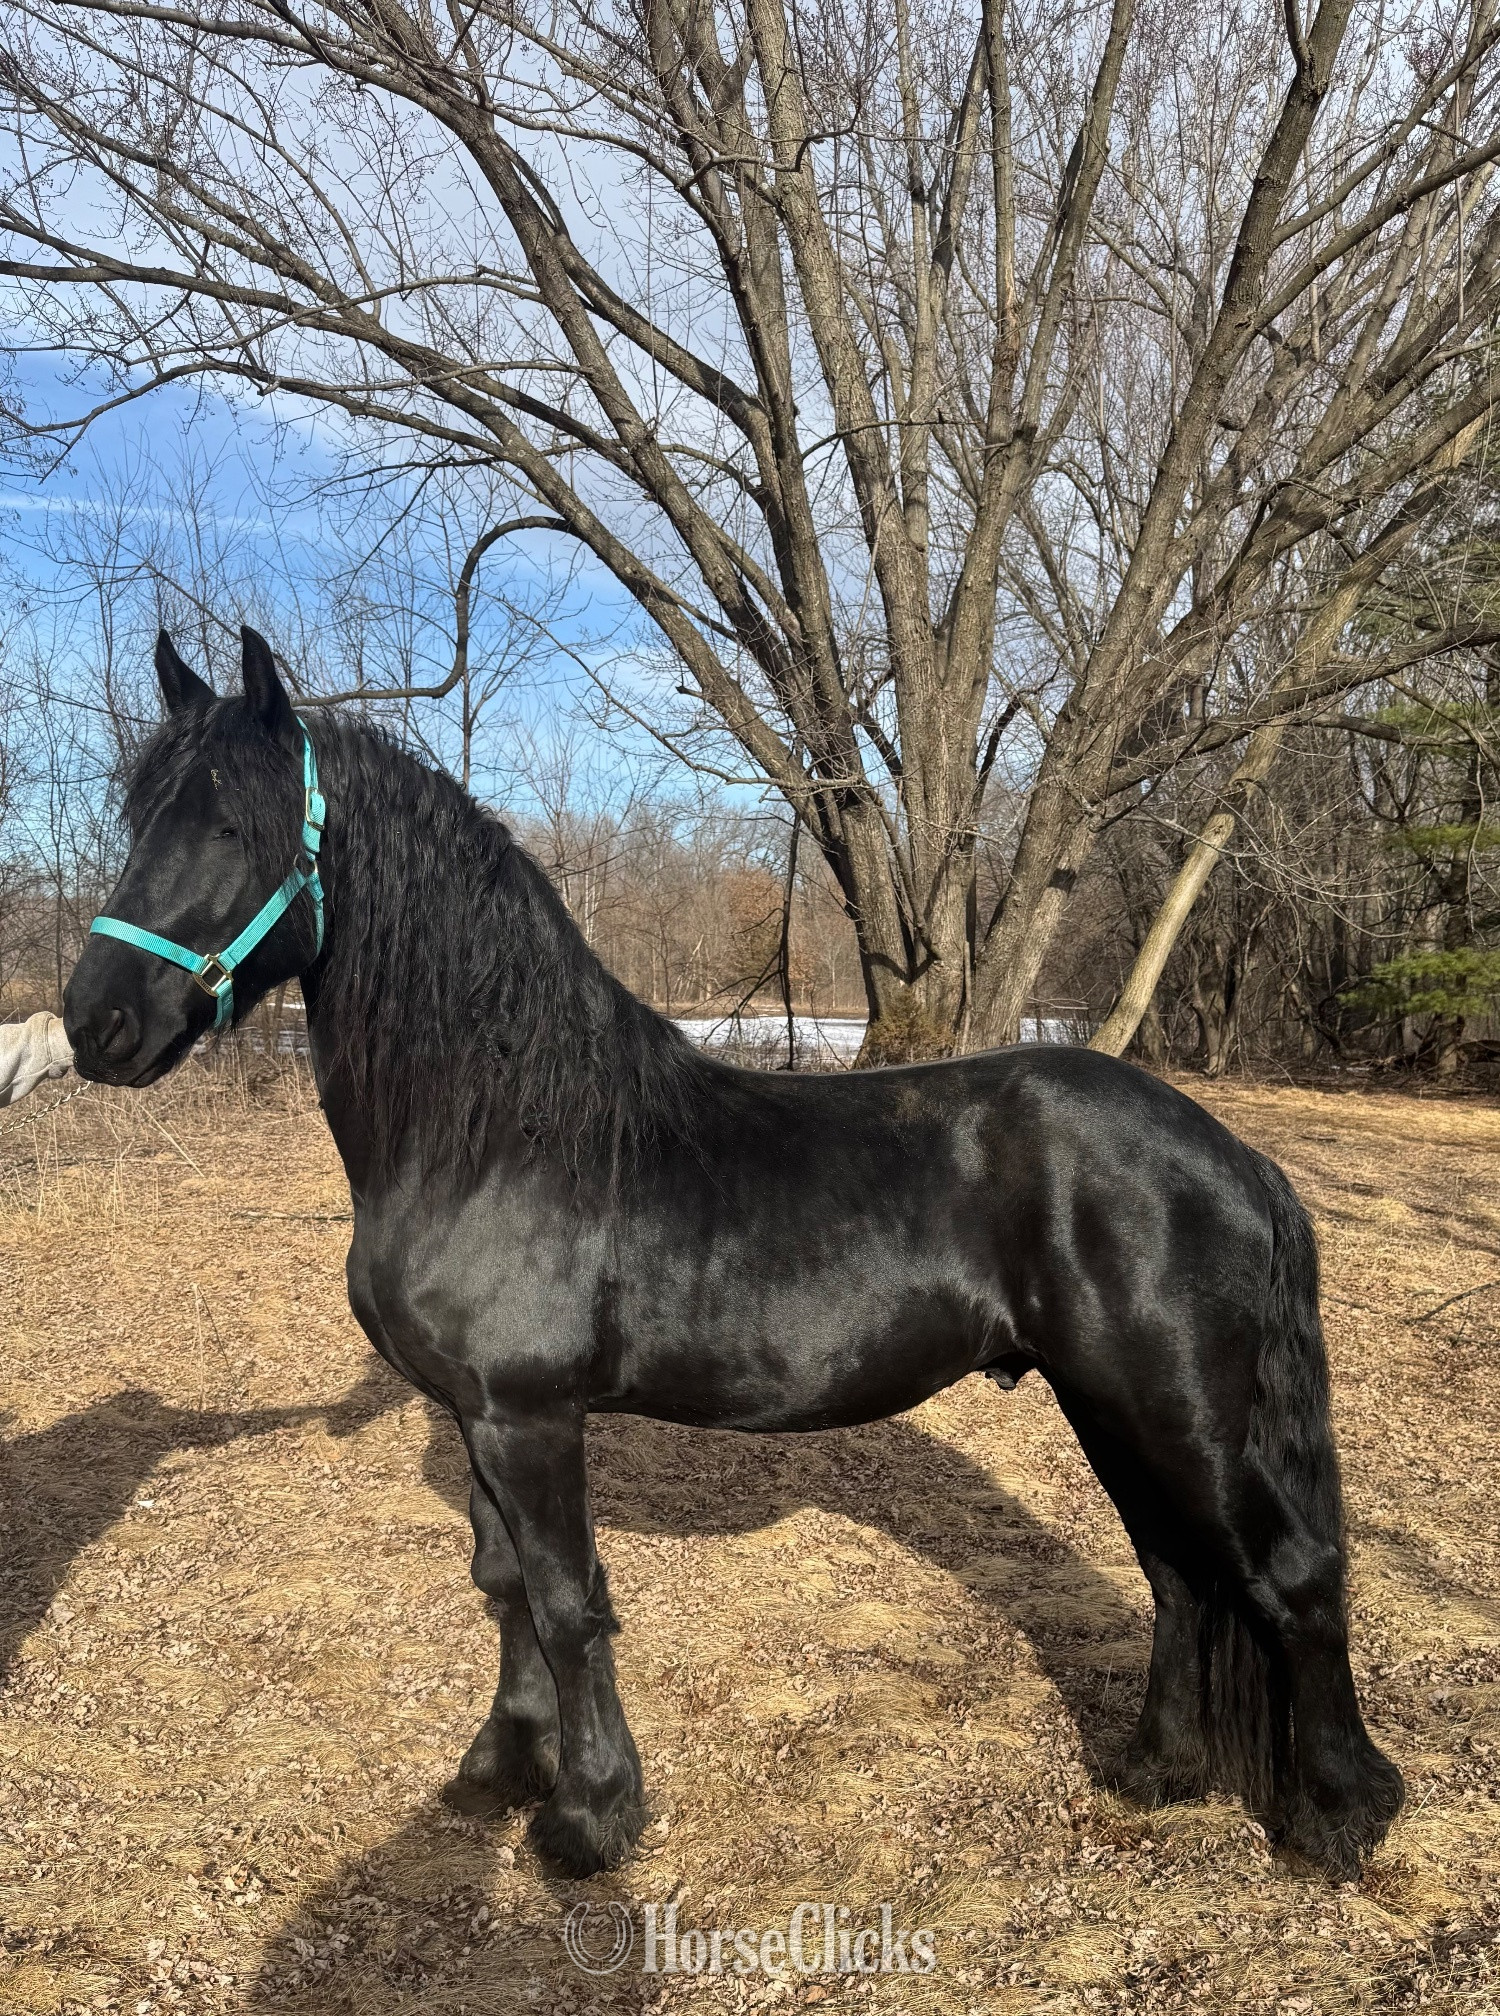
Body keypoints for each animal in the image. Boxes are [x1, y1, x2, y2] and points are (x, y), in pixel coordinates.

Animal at [62, 625, 1404, 1881]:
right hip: (1111, 1402)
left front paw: (590, 1818)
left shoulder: (528, 1418)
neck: (495, 1132)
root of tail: (1233, 1155)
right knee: (1180, 1573)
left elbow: (568, 1602)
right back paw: (1160, 1770)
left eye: (233, 825)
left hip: (1178, 1407)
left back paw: (1341, 1813)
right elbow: (502, 1587)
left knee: (1288, 1573)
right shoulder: (470, 1411)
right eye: (138, 817)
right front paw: (498, 1769)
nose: (94, 1024)